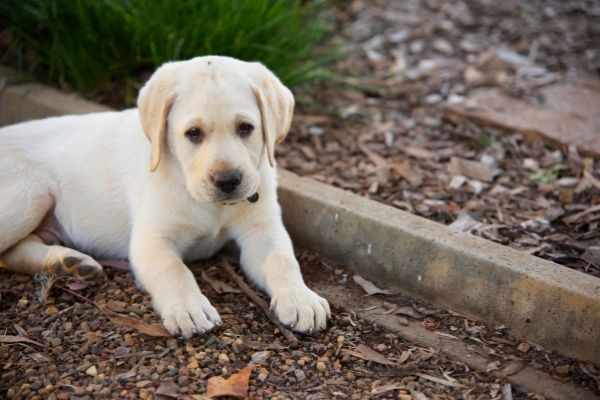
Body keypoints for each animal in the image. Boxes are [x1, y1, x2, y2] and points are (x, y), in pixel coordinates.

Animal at [0, 55, 330, 338]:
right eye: (193, 133)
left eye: (246, 128)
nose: (228, 181)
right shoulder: (151, 240)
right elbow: (174, 269)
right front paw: (189, 307)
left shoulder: (262, 229)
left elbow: (281, 259)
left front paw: (300, 298)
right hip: (28, 196)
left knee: (14, 252)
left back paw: (66, 262)